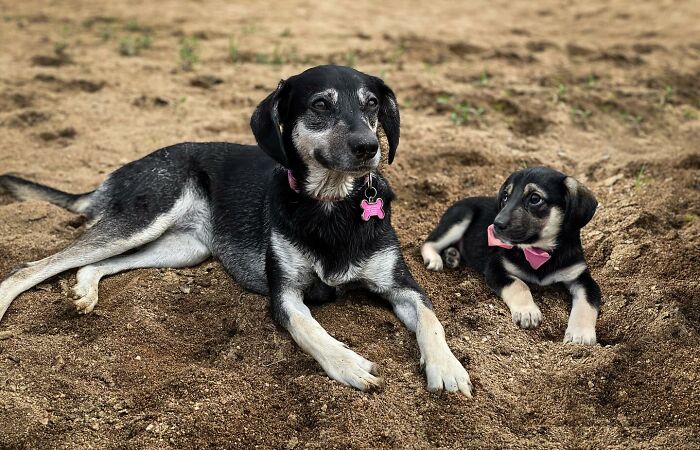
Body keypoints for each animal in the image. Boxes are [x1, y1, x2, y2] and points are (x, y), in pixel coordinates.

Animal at [1, 65, 470, 396]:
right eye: (321, 105)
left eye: (371, 104)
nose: (369, 148)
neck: (332, 205)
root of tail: (123, 170)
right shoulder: (285, 296)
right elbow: (310, 330)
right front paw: (349, 364)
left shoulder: (403, 286)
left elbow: (432, 320)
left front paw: (447, 369)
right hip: (145, 217)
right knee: (34, 266)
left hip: (181, 247)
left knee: (93, 264)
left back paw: (86, 291)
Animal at [422, 166, 600, 344]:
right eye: (506, 196)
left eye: (535, 198)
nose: (496, 224)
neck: (539, 251)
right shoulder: (496, 268)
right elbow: (519, 285)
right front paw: (528, 311)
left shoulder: (581, 277)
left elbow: (587, 303)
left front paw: (580, 334)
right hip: (461, 216)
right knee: (428, 243)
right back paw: (434, 258)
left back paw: (452, 255)